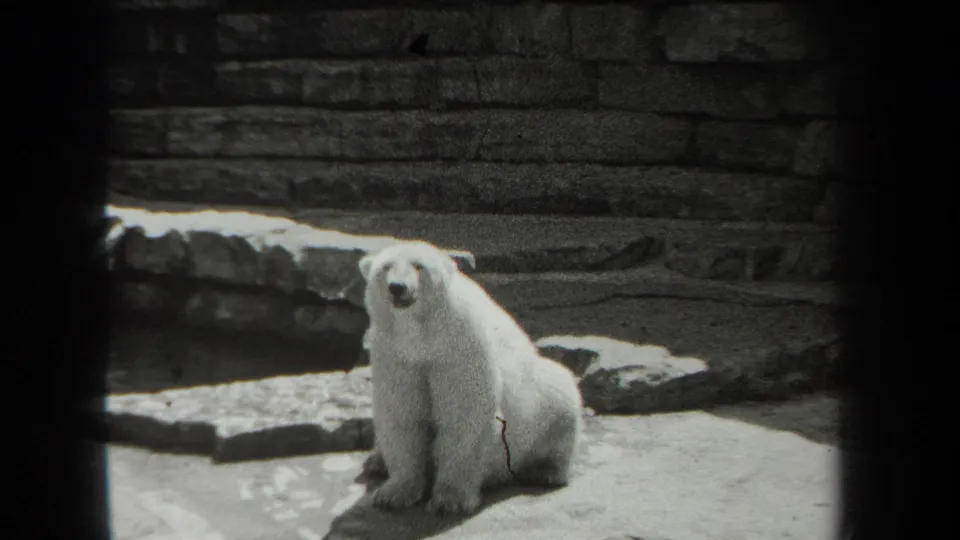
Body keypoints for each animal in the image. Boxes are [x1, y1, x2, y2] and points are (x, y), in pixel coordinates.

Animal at [357, 240, 583, 515]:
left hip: (541, 398)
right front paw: (393, 493)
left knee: (560, 395)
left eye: (418, 266)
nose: (397, 287)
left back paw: (544, 471)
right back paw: (376, 461)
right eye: (386, 267)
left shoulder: (459, 349)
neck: (423, 338)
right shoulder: (396, 355)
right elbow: (402, 414)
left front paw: (450, 499)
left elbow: (464, 414)